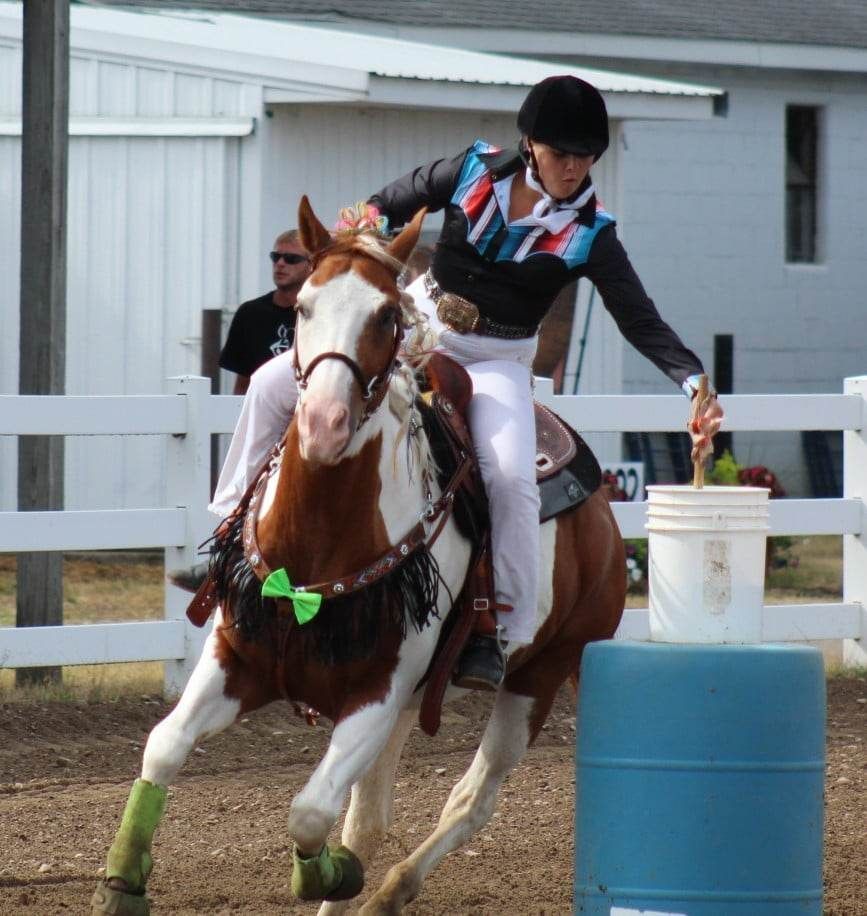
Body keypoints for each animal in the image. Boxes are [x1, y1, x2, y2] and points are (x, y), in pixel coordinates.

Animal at [91, 198, 625, 916]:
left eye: (386, 315)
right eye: (301, 307)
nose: (323, 424)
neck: (316, 551)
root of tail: (603, 518)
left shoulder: (377, 693)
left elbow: (311, 812)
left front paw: (331, 875)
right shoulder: (237, 660)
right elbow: (165, 746)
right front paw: (122, 880)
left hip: (536, 678)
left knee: (469, 801)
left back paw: (390, 889)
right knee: (372, 816)